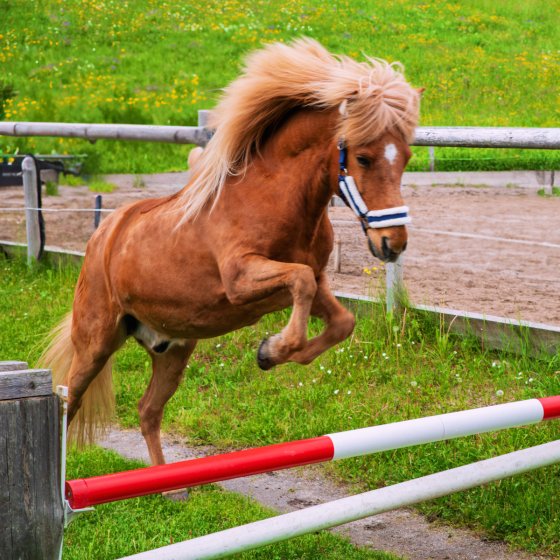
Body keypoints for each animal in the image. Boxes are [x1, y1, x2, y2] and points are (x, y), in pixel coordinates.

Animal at [41, 39, 420, 466]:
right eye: (363, 158)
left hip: (172, 350)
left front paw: (269, 353)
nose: (393, 243)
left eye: (406, 157)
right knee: (71, 402)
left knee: (147, 410)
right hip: (96, 343)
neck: (271, 196)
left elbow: (341, 320)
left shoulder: (316, 282)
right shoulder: (241, 280)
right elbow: (301, 283)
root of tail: (103, 236)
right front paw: (272, 348)